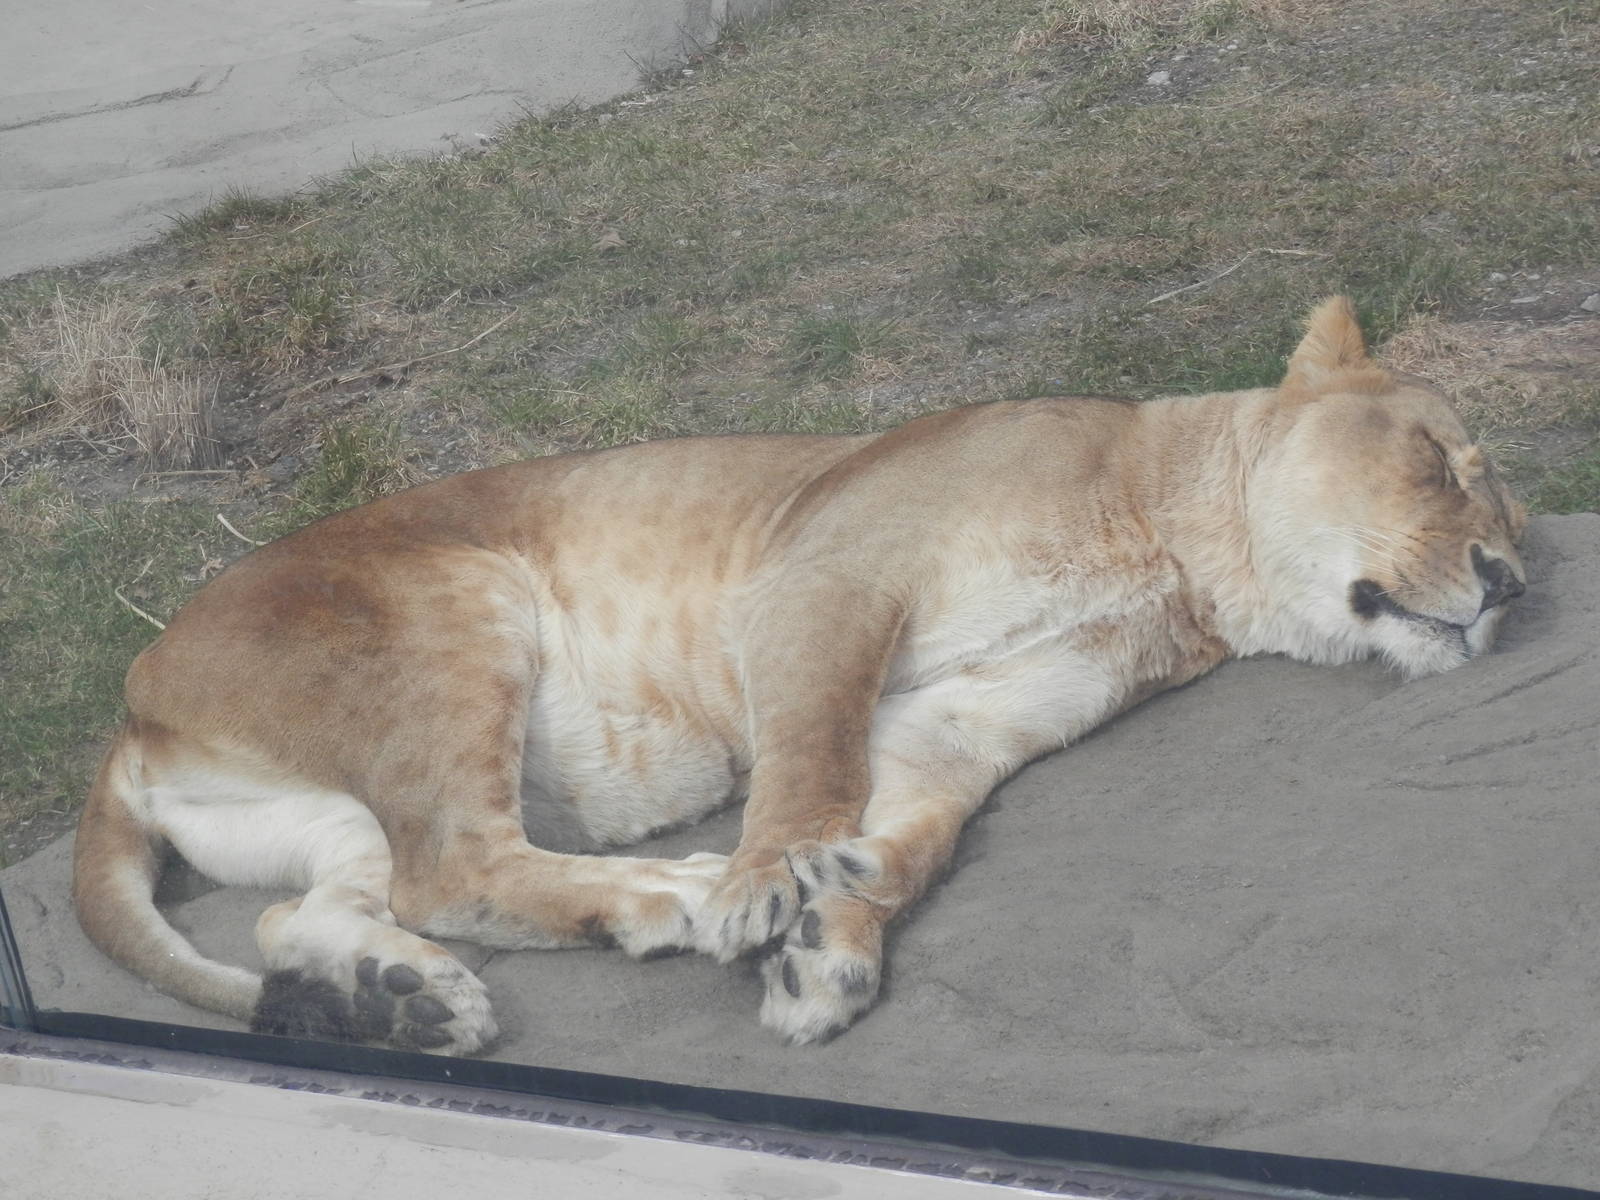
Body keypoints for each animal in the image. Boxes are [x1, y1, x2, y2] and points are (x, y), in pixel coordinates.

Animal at [72, 297, 1526, 1053]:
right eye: (1441, 462)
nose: (1511, 580)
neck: (1171, 545)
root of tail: (131, 709)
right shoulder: (826, 582)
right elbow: (816, 762)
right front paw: (769, 889)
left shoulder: (975, 713)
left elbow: (914, 836)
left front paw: (833, 938)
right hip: (460, 601)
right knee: (455, 864)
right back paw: (670, 894)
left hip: (323, 816)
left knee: (296, 912)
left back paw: (405, 999)